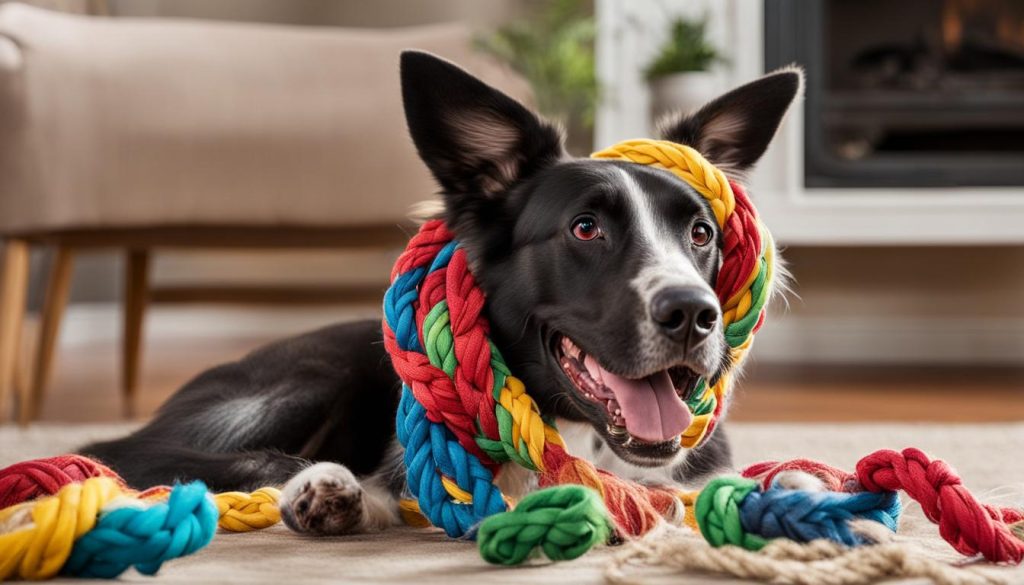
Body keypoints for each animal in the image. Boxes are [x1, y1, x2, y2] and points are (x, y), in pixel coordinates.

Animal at [81, 50, 798, 536]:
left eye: (701, 232)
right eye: (585, 228)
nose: (695, 314)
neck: (579, 436)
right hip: (312, 375)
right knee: (133, 454)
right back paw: (327, 488)